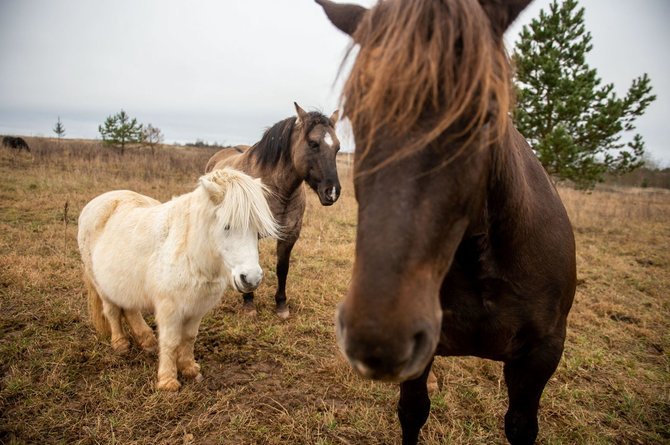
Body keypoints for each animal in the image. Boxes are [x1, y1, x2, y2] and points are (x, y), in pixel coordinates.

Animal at [78, 166, 278, 388]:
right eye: (227, 226)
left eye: (258, 231)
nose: (251, 279)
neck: (190, 254)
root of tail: (97, 201)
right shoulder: (169, 309)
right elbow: (171, 340)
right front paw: (168, 381)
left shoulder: (197, 308)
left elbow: (189, 337)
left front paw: (189, 368)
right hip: (100, 284)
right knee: (112, 311)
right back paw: (120, 344)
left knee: (130, 309)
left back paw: (147, 340)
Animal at [206, 102, 344, 318]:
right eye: (313, 143)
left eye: (337, 148)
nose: (332, 192)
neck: (276, 190)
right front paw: (249, 303)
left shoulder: (290, 234)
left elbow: (282, 268)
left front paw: (281, 304)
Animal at [318, 0, 576, 444]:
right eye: (355, 115)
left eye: (488, 114)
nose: (377, 339)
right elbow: (413, 412)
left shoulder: (541, 356)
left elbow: (520, 425)